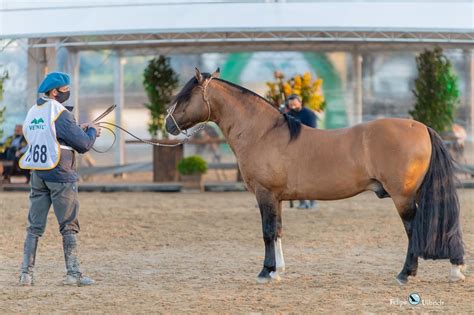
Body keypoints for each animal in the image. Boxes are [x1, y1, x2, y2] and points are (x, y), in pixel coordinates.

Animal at [165, 68, 464, 286]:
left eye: (185, 96)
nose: (168, 125)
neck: (262, 133)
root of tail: (421, 127)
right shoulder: (277, 198)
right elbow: (278, 231)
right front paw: (278, 270)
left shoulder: (265, 195)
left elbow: (267, 232)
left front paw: (265, 272)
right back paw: (455, 269)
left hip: (402, 197)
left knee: (413, 230)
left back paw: (405, 274)